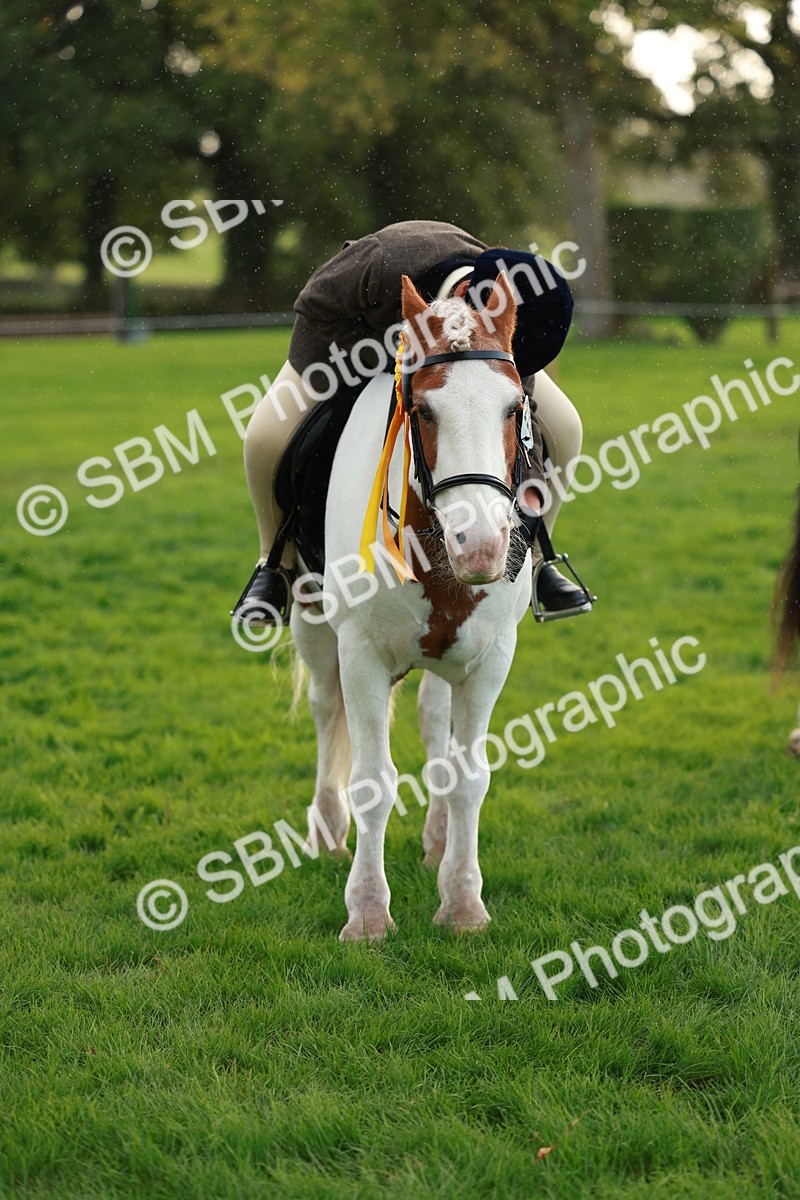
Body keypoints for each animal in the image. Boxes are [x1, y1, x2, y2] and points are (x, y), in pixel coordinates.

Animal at [289, 272, 537, 940]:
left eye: (514, 408)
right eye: (424, 411)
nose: (481, 545)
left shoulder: (492, 659)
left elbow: (470, 775)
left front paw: (463, 903)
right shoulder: (362, 654)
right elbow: (372, 781)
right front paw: (368, 913)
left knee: (434, 724)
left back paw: (439, 838)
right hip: (311, 624)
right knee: (325, 707)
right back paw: (327, 827)